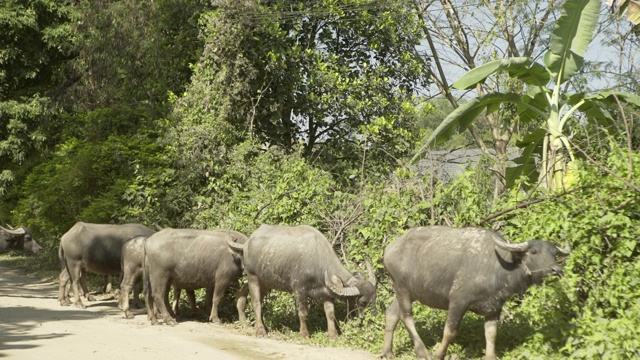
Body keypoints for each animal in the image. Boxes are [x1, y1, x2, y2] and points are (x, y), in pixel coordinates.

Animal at [226, 225, 376, 340]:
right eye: (363, 302)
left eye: (374, 299)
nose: (369, 321)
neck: (317, 258)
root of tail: (247, 244)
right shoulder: (299, 289)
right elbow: (303, 312)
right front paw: (304, 334)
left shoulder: (327, 293)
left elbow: (330, 313)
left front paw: (333, 335)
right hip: (253, 277)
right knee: (256, 303)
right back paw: (260, 331)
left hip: (266, 283)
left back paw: (265, 327)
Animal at [380, 226, 568, 360]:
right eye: (534, 252)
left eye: (554, 253)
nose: (556, 270)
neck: (498, 266)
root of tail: (389, 249)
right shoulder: (458, 302)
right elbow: (450, 331)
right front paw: (439, 354)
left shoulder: (494, 307)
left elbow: (491, 334)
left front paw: (491, 356)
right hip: (402, 288)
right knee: (406, 316)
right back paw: (422, 352)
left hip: (406, 291)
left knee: (392, 313)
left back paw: (388, 352)